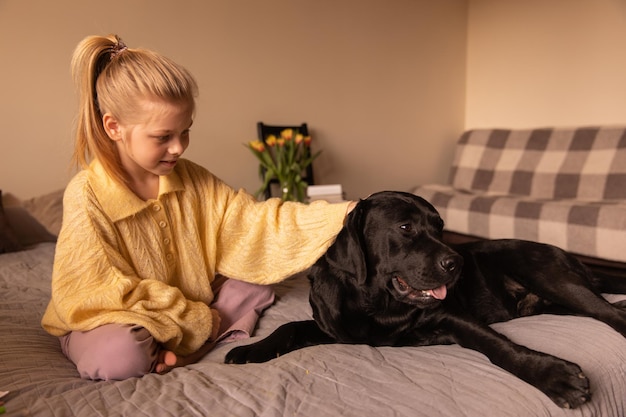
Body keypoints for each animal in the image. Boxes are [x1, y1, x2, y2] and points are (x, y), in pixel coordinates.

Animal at [227, 190, 624, 408]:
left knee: (604, 312)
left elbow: (499, 347)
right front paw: (250, 350)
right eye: (406, 228)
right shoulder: (336, 331)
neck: (377, 304)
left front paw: (553, 375)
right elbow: (290, 327)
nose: (457, 262)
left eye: (440, 227)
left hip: (554, 279)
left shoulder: (452, 319)